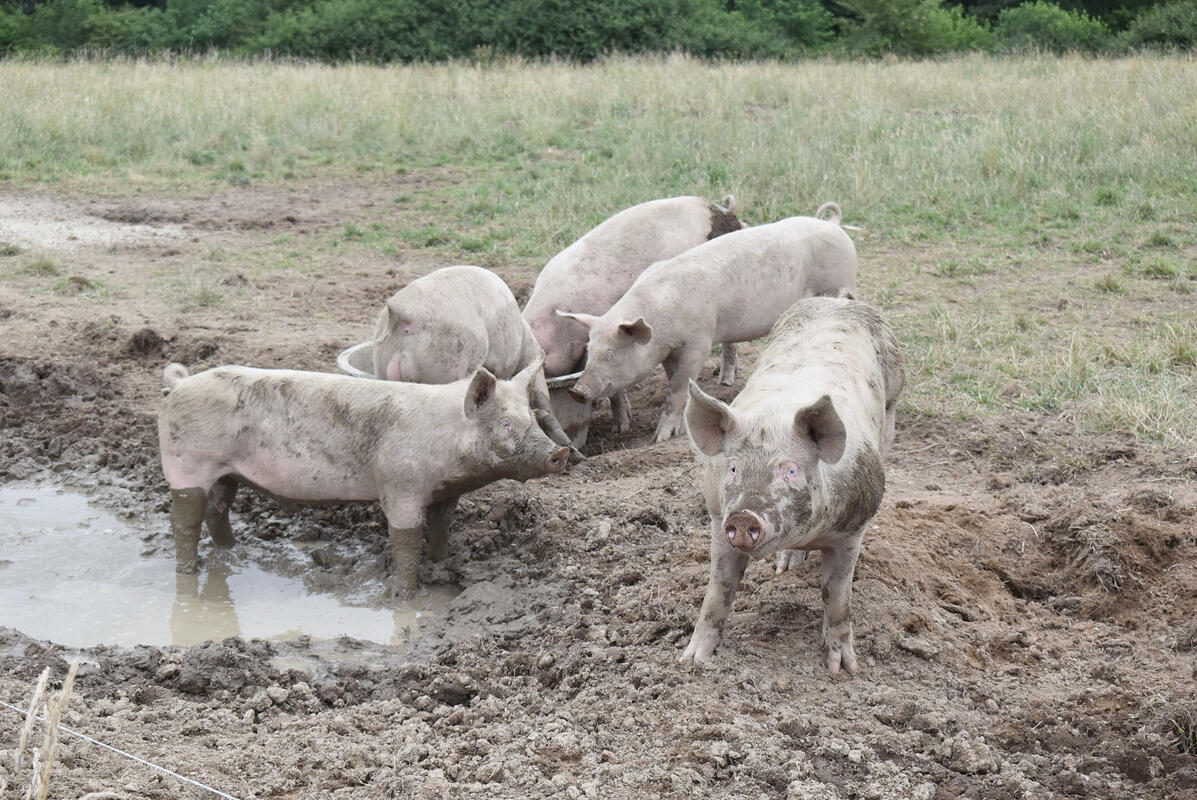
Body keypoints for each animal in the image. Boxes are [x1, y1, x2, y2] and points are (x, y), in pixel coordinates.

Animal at [159, 356, 569, 594]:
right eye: (505, 425)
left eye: (532, 419)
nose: (560, 453)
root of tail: (179, 384)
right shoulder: (400, 485)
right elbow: (405, 541)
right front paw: (405, 594)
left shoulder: (444, 492)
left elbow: (441, 529)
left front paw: (442, 566)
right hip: (186, 463)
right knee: (184, 518)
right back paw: (188, 571)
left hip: (225, 474)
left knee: (218, 510)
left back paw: (230, 553)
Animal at [562, 204, 861, 443]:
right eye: (590, 349)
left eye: (612, 353)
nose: (577, 390)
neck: (662, 318)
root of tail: (834, 225)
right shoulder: (670, 352)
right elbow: (673, 383)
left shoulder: (698, 342)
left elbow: (679, 388)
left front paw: (660, 439)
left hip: (838, 284)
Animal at [679, 297, 900, 670]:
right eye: (733, 468)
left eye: (791, 471)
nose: (745, 516)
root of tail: (837, 301)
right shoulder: (717, 518)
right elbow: (719, 590)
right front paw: (691, 661)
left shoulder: (852, 530)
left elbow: (836, 597)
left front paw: (844, 669)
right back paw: (786, 568)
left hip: (893, 405)